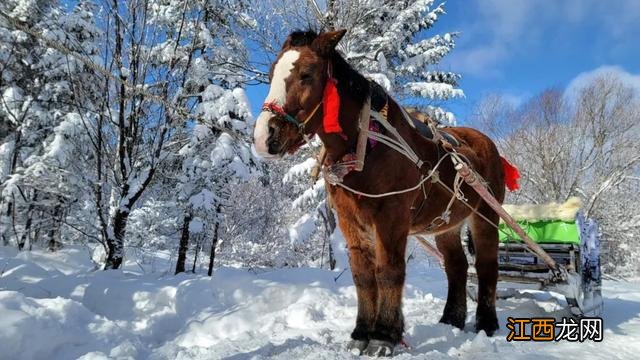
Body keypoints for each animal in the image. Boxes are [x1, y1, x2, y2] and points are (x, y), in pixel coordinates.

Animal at [252, 29, 508, 356]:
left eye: (306, 74)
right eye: (273, 72)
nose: (264, 136)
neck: (366, 148)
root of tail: (483, 142)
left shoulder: (391, 217)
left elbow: (389, 270)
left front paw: (384, 336)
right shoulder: (350, 219)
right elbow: (363, 274)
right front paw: (362, 332)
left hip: (486, 215)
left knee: (487, 264)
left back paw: (486, 323)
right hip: (446, 225)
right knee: (457, 266)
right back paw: (451, 320)